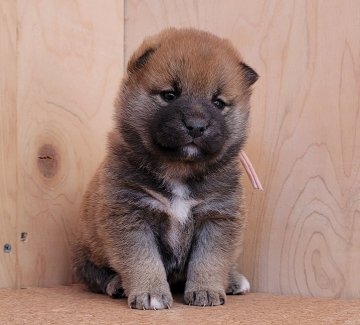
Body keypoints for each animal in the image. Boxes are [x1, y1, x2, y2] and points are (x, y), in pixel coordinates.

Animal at [72, 28, 258, 308]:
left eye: (218, 103)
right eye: (170, 95)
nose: (196, 126)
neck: (178, 169)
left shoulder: (217, 217)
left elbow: (210, 260)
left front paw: (206, 290)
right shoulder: (130, 215)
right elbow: (143, 260)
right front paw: (150, 294)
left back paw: (233, 280)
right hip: (88, 251)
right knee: (96, 275)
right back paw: (116, 284)